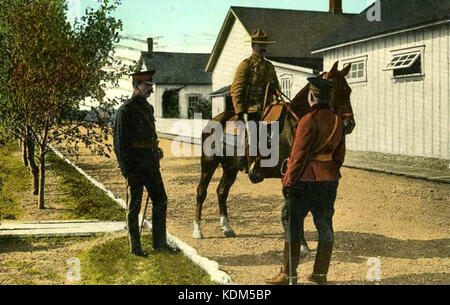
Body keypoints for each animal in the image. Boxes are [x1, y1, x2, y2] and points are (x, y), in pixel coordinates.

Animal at [192, 61, 354, 245]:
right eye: (334, 90)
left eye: (349, 90)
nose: (349, 124)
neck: (294, 124)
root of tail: (214, 120)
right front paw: (300, 243)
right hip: (208, 163)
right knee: (201, 192)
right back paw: (198, 230)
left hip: (230, 168)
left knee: (221, 191)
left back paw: (227, 227)